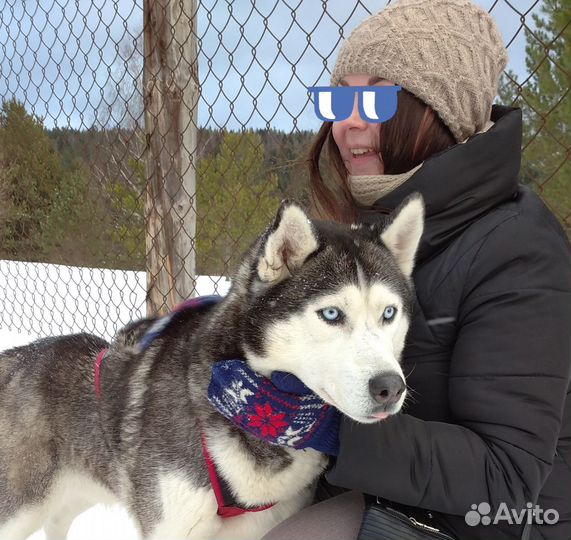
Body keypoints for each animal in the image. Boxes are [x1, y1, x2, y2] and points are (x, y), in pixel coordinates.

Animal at [1, 195, 424, 540]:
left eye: (389, 313)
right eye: (332, 314)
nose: (390, 387)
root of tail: (21, 355)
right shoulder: (170, 525)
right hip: (22, 508)